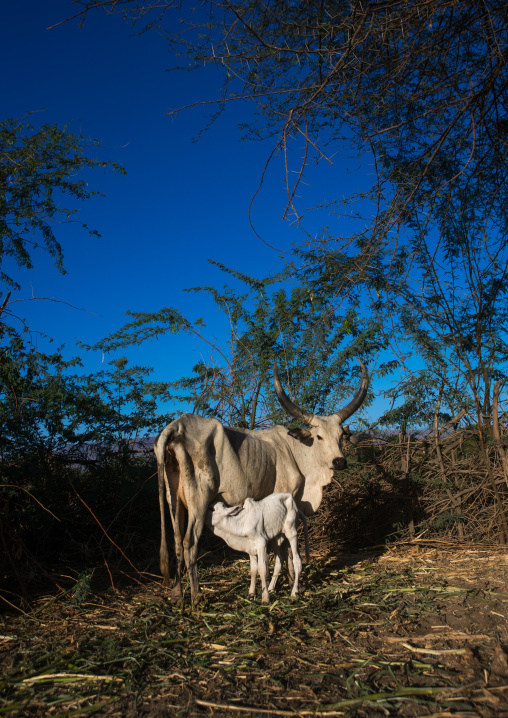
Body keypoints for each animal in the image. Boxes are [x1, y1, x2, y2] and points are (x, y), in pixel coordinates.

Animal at [154, 360, 369, 604]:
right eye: (319, 436)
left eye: (341, 436)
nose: (339, 461)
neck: (296, 450)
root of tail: (176, 426)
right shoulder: (287, 500)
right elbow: (283, 549)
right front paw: (289, 584)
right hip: (199, 500)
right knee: (190, 542)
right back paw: (196, 596)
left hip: (174, 499)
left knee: (177, 540)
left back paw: (177, 594)